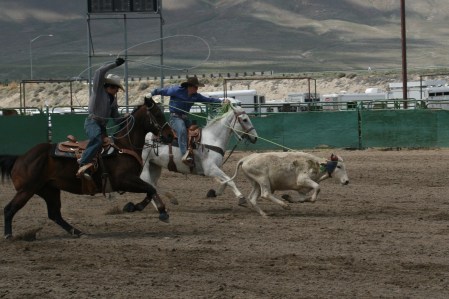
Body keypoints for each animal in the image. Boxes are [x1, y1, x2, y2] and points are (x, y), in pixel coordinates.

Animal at [0, 97, 173, 240]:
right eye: (158, 114)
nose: (171, 136)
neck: (124, 146)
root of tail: (20, 158)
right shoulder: (124, 180)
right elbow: (150, 188)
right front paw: (161, 212)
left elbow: (150, 190)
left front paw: (134, 207)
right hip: (27, 189)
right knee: (9, 209)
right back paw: (9, 235)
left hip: (49, 190)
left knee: (55, 214)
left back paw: (77, 232)